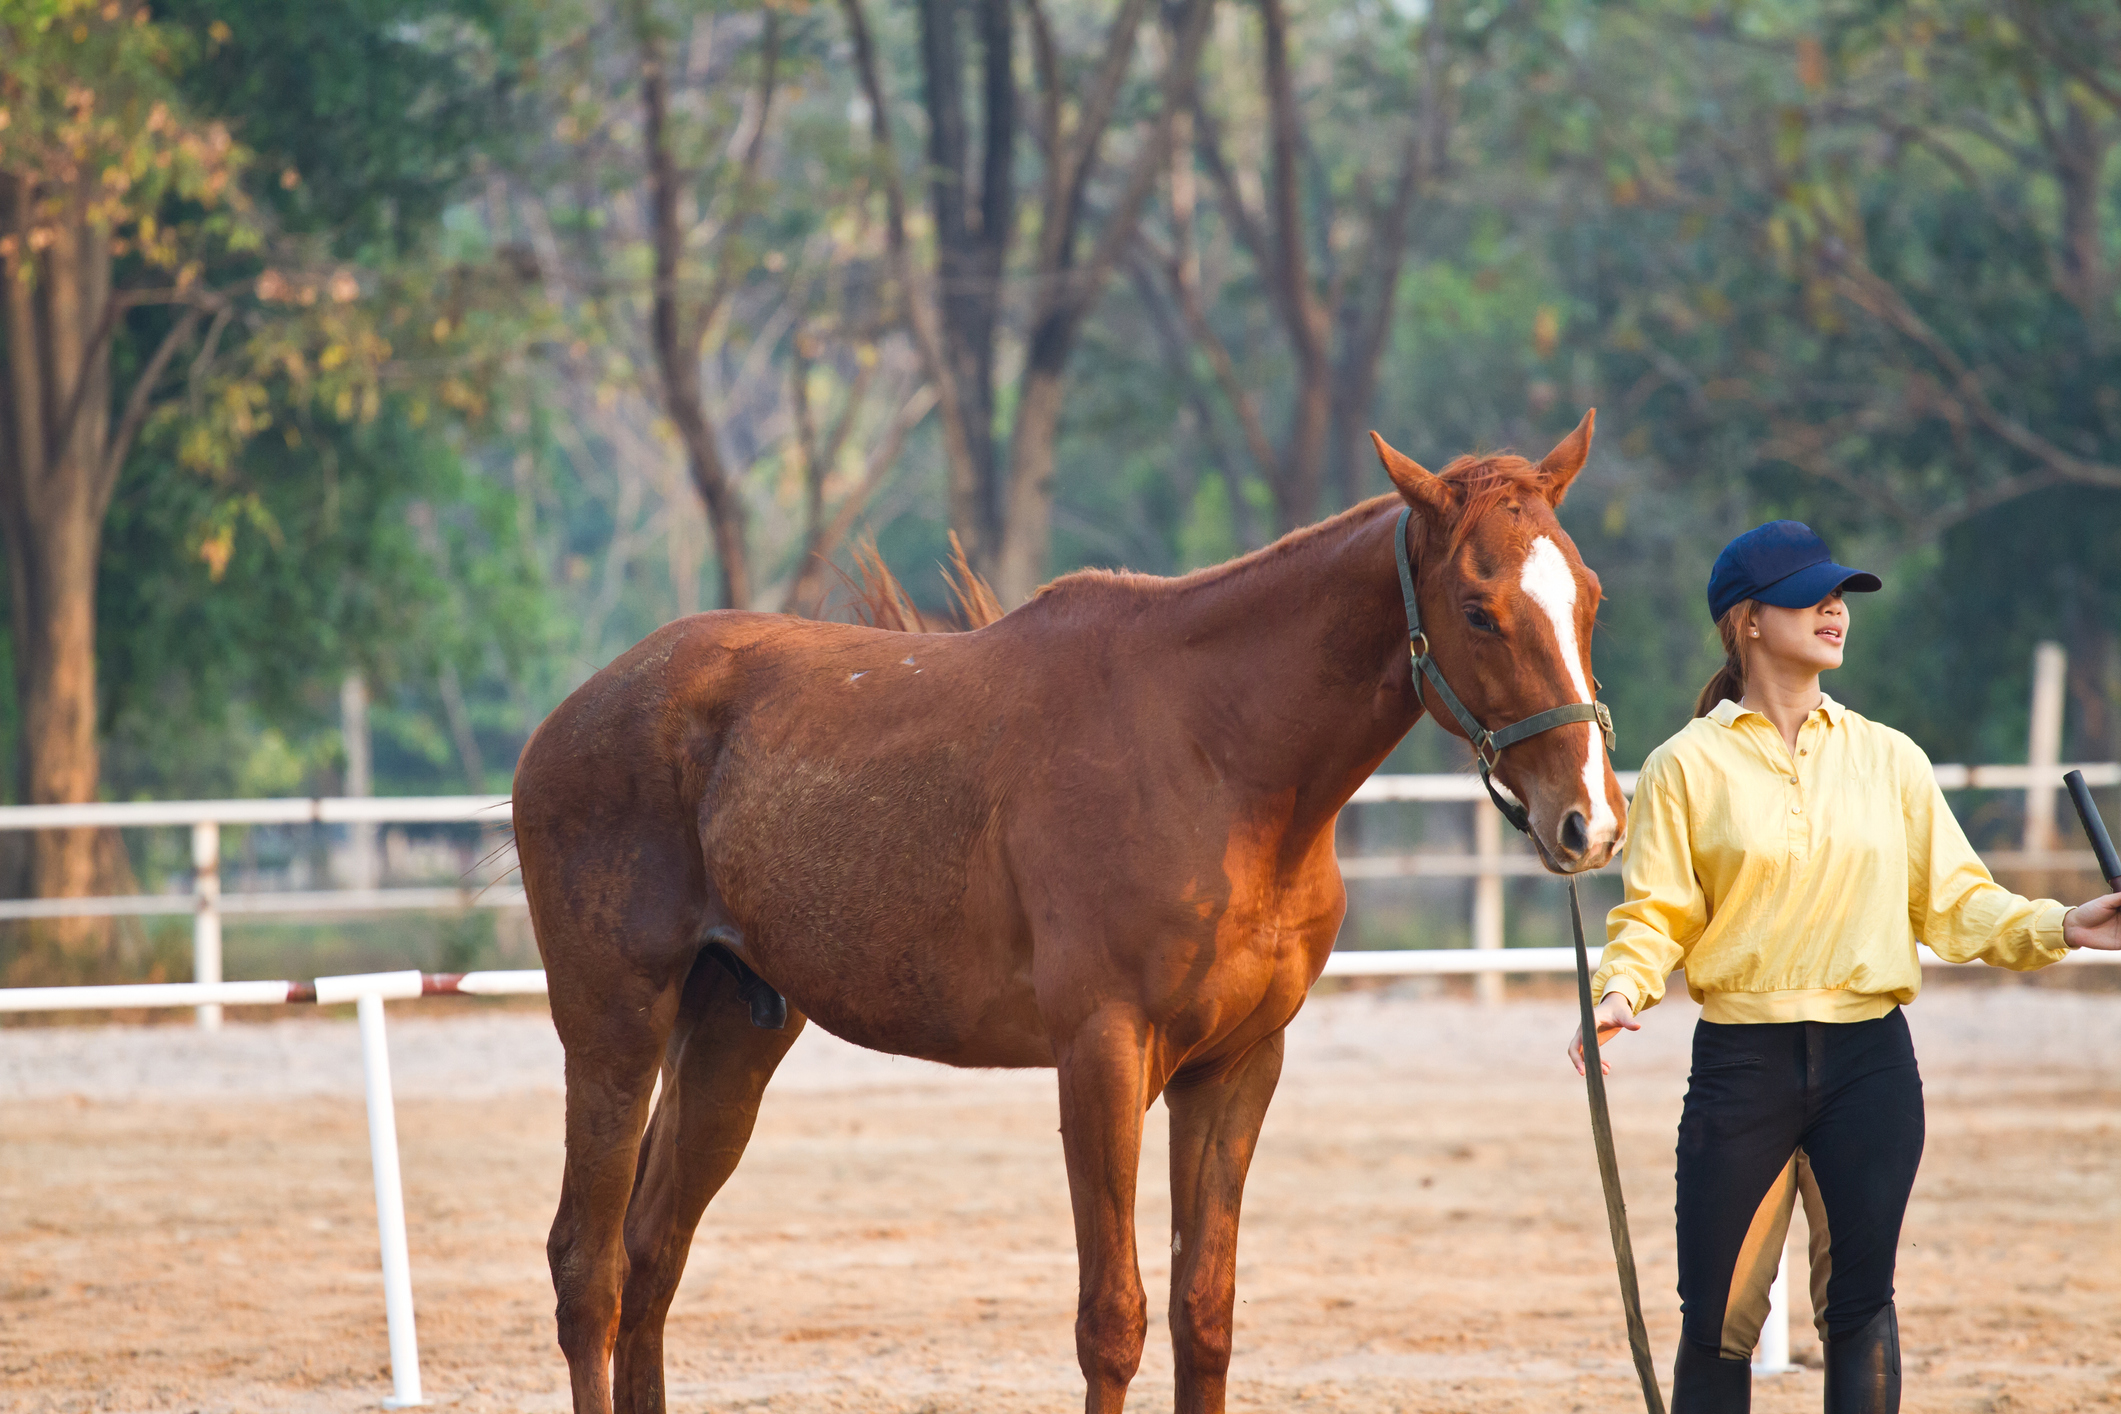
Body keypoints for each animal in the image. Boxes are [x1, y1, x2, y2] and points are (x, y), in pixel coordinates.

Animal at [509, 411, 1620, 1414]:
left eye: (1589, 597)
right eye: (1477, 609)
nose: (1590, 822)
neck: (1216, 753)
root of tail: (572, 715)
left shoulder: (1236, 1068)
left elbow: (1202, 1316)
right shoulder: (1102, 1055)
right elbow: (1113, 1321)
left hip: (732, 1035)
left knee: (651, 1256)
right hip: (613, 1028)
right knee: (587, 1270)